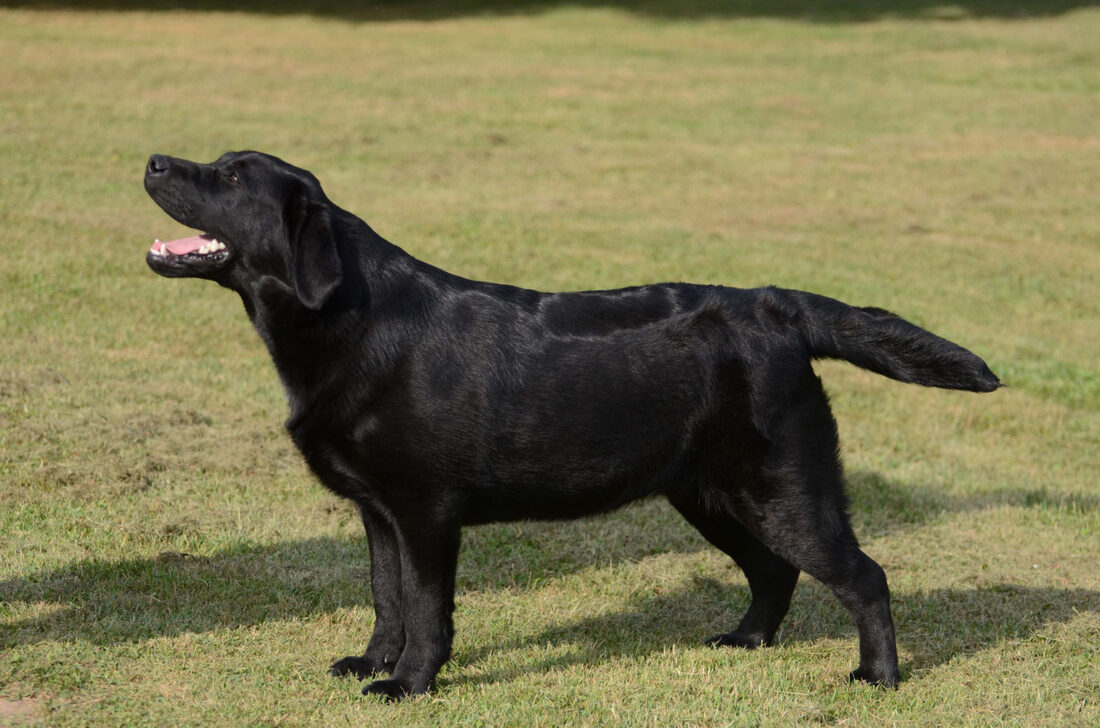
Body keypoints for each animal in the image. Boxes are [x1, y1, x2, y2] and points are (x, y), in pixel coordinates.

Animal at [141, 152, 1003, 703]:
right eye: (213, 161)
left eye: (229, 177)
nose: (152, 161)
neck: (354, 321)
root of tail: (777, 307)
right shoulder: (377, 512)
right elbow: (387, 599)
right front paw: (370, 663)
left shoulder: (426, 513)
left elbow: (426, 609)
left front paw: (411, 685)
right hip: (710, 494)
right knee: (773, 571)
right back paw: (746, 641)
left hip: (784, 489)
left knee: (863, 575)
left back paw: (877, 678)